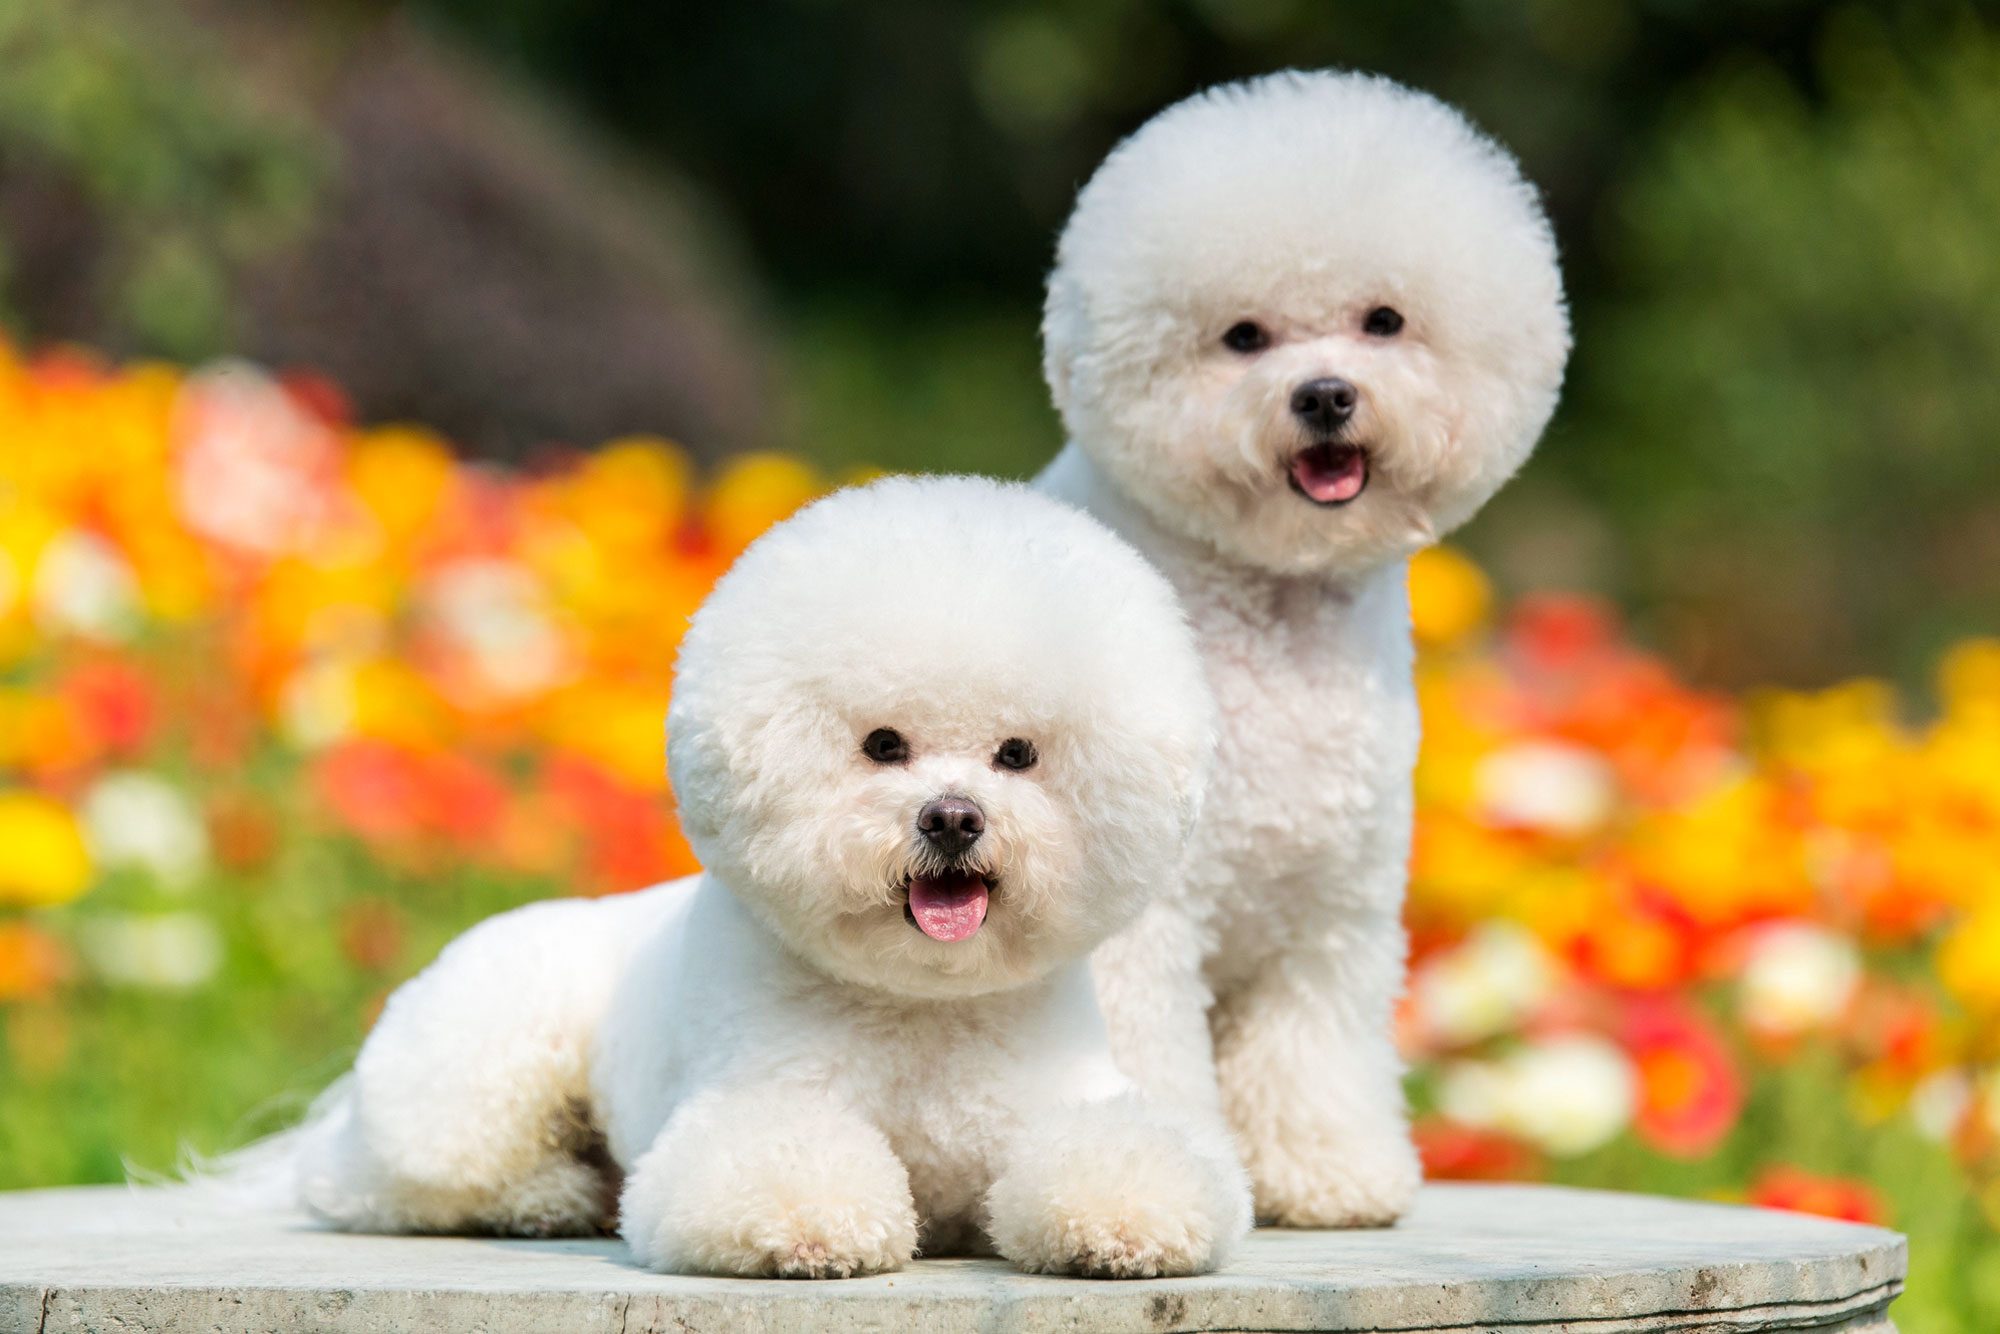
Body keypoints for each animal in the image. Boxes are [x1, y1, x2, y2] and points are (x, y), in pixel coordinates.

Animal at [282, 480, 1248, 1280]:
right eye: (882, 744)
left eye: (1017, 755)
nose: (952, 818)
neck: (922, 1006)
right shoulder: (761, 1098)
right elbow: (775, 1161)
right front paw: (807, 1229)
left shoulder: (1056, 1102)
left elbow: (1117, 1156)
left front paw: (1119, 1224)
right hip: (472, 1075)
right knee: (385, 1182)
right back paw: (539, 1197)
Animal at [1032, 68, 1576, 1224]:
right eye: (1242, 336)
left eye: (1384, 321)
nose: (1324, 394)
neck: (1271, 615)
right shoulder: (1140, 922)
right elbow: (1139, 1052)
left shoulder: (1330, 912)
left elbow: (1313, 1050)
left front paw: (1329, 1172)